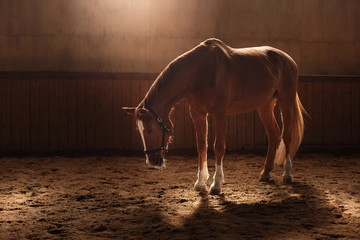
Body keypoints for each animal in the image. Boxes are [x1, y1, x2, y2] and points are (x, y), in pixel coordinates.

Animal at [124, 38, 306, 195]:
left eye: (150, 129)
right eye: (139, 130)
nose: (152, 160)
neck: (199, 72)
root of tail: (288, 59)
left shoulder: (220, 114)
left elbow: (218, 147)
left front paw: (216, 184)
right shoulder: (197, 113)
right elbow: (201, 146)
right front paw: (200, 182)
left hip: (286, 100)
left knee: (287, 135)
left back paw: (287, 174)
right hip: (265, 105)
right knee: (274, 133)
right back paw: (265, 173)